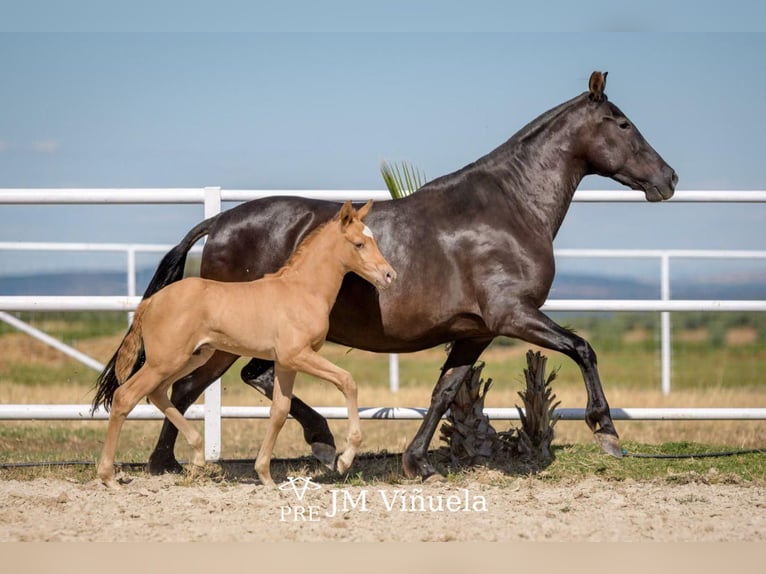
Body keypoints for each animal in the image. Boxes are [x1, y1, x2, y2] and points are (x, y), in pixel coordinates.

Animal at [94, 200, 396, 488]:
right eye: (359, 244)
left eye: (374, 240)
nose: (389, 275)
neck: (302, 291)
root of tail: (152, 301)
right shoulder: (298, 355)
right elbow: (347, 381)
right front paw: (343, 460)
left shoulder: (285, 362)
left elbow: (279, 411)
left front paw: (265, 475)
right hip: (165, 360)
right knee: (125, 396)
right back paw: (109, 477)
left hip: (191, 357)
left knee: (158, 393)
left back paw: (198, 455)